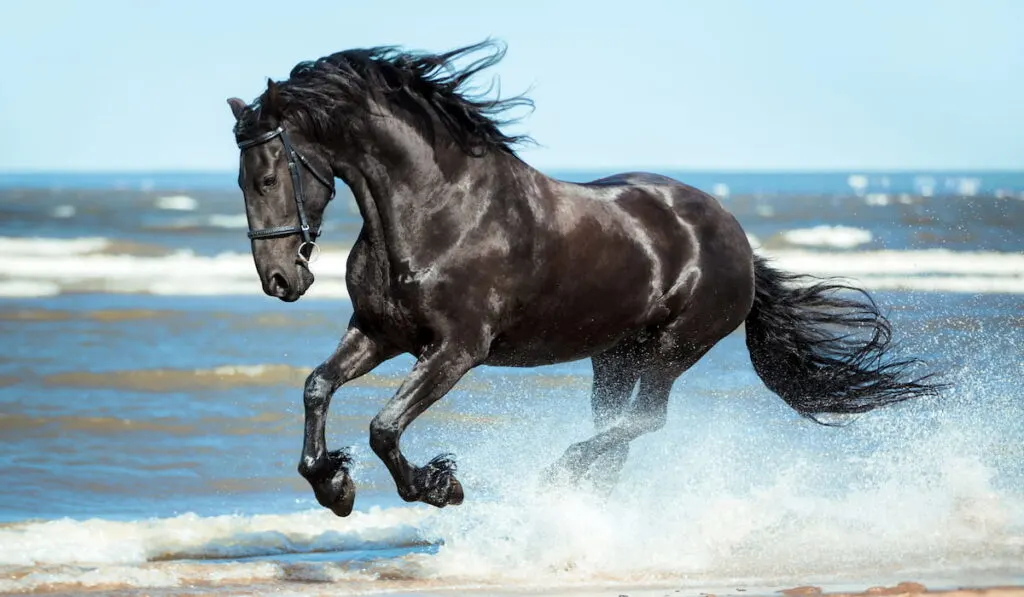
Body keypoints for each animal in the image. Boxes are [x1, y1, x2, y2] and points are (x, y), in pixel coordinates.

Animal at [226, 39, 942, 516]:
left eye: (267, 176)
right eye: (240, 180)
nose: (280, 280)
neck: (437, 209)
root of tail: (735, 235)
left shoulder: (456, 350)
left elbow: (384, 426)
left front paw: (437, 485)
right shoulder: (379, 333)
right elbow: (317, 387)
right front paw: (333, 485)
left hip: (674, 348)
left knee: (642, 423)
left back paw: (561, 475)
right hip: (614, 355)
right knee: (618, 429)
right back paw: (582, 496)